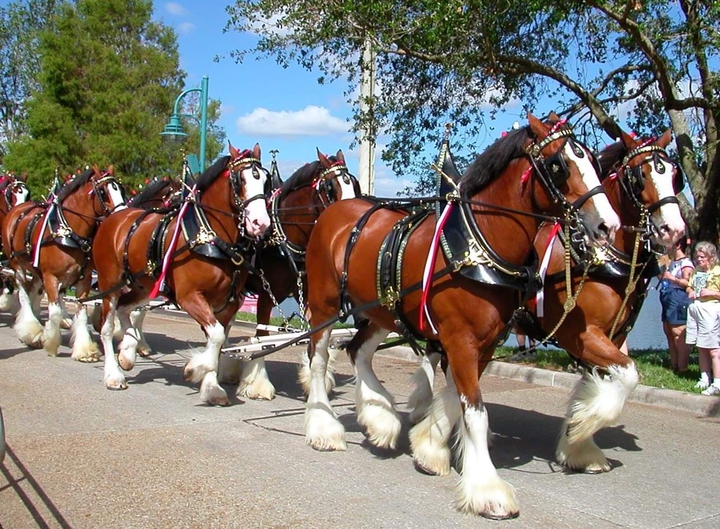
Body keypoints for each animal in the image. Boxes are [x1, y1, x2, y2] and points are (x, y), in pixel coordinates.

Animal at [1, 166, 126, 360]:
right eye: (103, 192)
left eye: (121, 189)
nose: (123, 214)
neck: (69, 233)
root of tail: (17, 210)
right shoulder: (51, 277)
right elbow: (55, 312)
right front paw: (50, 341)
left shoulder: (84, 280)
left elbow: (81, 314)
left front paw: (84, 350)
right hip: (18, 265)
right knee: (23, 294)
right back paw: (31, 329)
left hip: (36, 271)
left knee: (33, 292)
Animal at [92, 143, 271, 406]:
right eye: (240, 180)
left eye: (266, 181)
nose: (261, 223)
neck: (210, 238)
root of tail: (114, 218)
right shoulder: (190, 297)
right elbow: (216, 336)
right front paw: (195, 369)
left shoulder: (227, 304)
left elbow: (216, 341)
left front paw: (212, 387)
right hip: (110, 285)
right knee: (106, 326)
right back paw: (113, 374)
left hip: (143, 285)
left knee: (126, 309)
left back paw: (128, 351)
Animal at [226, 148, 360, 400]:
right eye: (330, 187)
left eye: (354, 184)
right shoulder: (266, 296)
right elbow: (262, 335)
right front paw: (258, 385)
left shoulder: (308, 296)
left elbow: (312, 337)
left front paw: (314, 382)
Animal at [300, 113, 621, 519]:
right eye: (559, 165)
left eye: (593, 161)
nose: (608, 225)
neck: (478, 245)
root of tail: (335, 214)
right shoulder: (461, 340)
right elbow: (476, 413)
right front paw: (487, 490)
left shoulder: (482, 343)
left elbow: (458, 399)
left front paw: (429, 446)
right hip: (325, 305)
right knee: (319, 358)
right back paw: (323, 427)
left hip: (380, 309)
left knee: (358, 351)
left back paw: (381, 418)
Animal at [406, 128, 686, 483]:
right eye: (642, 175)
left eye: (675, 176)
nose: (674, 229)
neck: (598, 258)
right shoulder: (580, 334)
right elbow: (628, 375)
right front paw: (582, 429)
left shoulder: (614, 336)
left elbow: (604, 381)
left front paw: (579, 444)